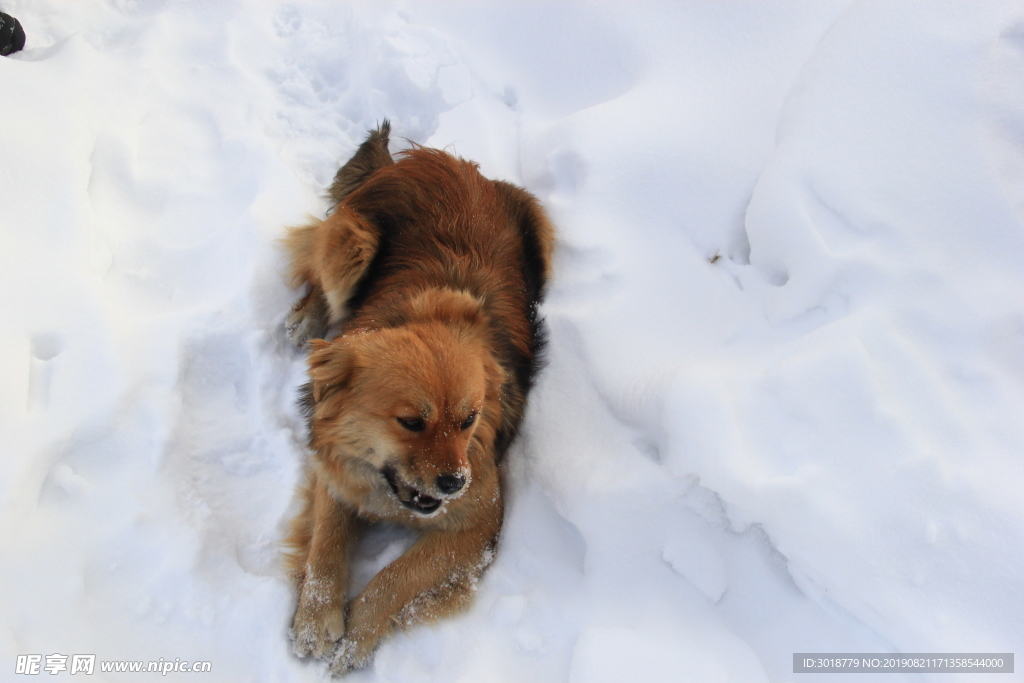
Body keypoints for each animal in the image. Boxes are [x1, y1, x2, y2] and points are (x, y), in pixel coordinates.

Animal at [280, 121, 552, 671]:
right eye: (410, 422)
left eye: (470, 419)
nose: (454, 482)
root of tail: (437, 157)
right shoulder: (333, 470)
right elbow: (325, 545)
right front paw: (316, 620)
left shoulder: (479, 520)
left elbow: (393, 578)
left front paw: (357, 638)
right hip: (351, 240)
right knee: (320, 269)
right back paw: (306, 319)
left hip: (542, 227)